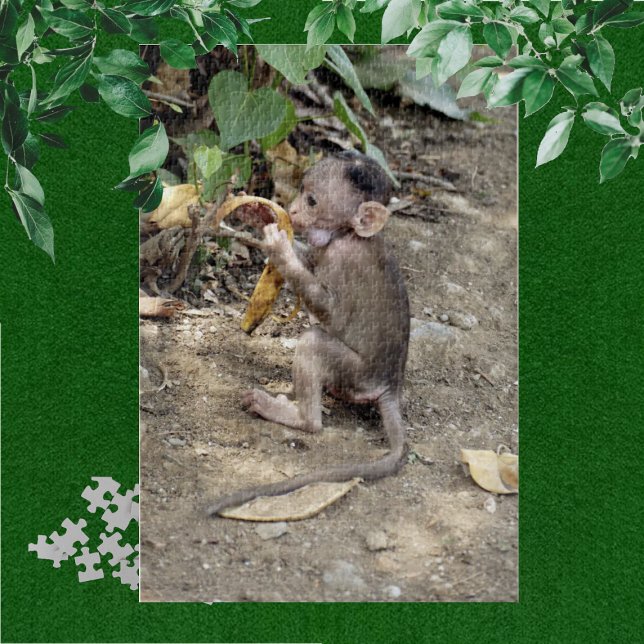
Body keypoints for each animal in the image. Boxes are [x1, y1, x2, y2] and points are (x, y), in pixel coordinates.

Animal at [207, 152, 410, 517]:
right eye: (301, 192)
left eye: (313, 201)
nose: (293, 208)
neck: (349, 235)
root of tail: (391, 385)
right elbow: (310, 259)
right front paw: (256, 213)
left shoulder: (345, 259)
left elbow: (329, 311)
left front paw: (280, 250)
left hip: (357, 375)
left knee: (313, 344)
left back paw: (298, 416)